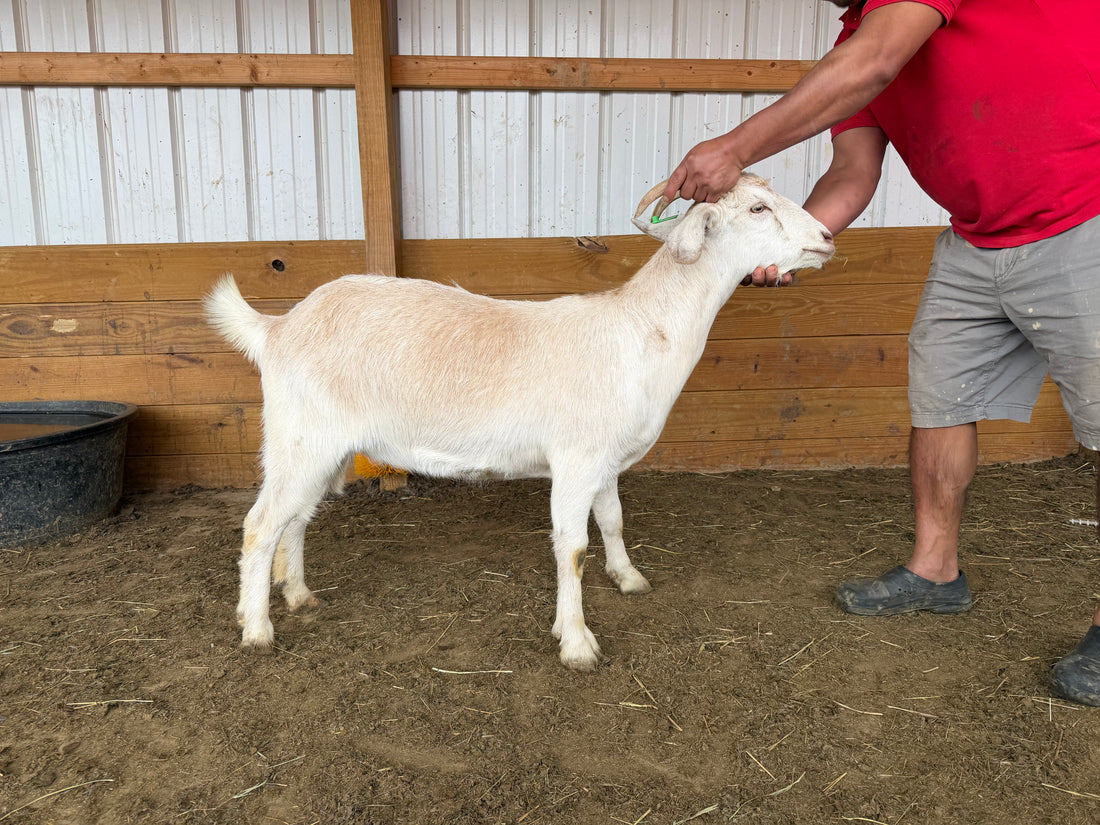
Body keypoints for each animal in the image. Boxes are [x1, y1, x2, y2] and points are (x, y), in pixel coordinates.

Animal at [204, 173, 834, 670]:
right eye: (758, 209)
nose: (828, 237)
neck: (639, 329)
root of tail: (277, 329)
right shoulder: (575, 460)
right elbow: (572, 547)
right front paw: (576, 642)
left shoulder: (603, 461)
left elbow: (612, 520)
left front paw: (628, 577)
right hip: (302, 437)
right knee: (261, 524)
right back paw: (257, 628)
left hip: (319, 447)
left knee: (296, 519)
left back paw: (297, 594)